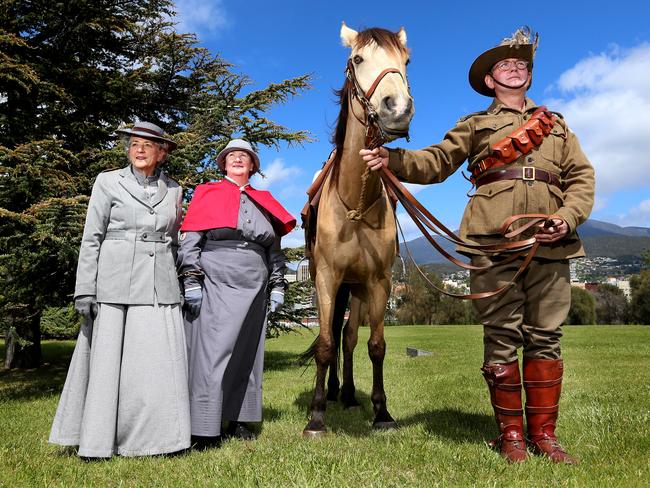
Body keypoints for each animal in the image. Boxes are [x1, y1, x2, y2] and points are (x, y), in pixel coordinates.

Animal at [302, 21, 412, 438]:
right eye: (359, 59)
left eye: (405, 61)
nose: (398, 108)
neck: (355, 201)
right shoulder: (326, 278)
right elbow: (323, 342)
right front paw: (316, 415)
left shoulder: (378, 283)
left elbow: (374, 345)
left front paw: (382, 412)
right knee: (333, 334)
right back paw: (331, 393)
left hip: (358, 289)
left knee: (348, 338)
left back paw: (347, 393)